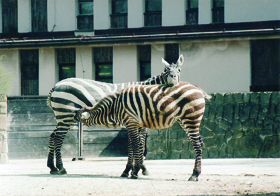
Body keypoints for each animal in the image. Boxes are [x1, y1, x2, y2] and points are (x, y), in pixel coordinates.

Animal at [47, 54, 185, 175]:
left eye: (179, 70)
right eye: (166, 70)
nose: (172, 78)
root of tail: (56, 85)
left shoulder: (134, 123)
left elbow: (134, 144)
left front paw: (132, 169)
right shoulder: (138, 123)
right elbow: (139, 144)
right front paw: (139, 168)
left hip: (63, 118)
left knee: (53, 136)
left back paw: (52, 167)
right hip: (65, 115)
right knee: (58, 138)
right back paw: (61, 168)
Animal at [77, 81, 209, 181]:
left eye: (79, 118)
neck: (114, 108)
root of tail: (197, 88)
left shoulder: (131, 121)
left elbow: (136, 145)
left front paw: (135, 172)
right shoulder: (132, 124)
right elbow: (132, 146)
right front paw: (129, 171)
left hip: (191, 118)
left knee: (197, 145)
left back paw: (194, 175)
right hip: (184, 120)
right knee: (200, 143)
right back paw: (196, 173)